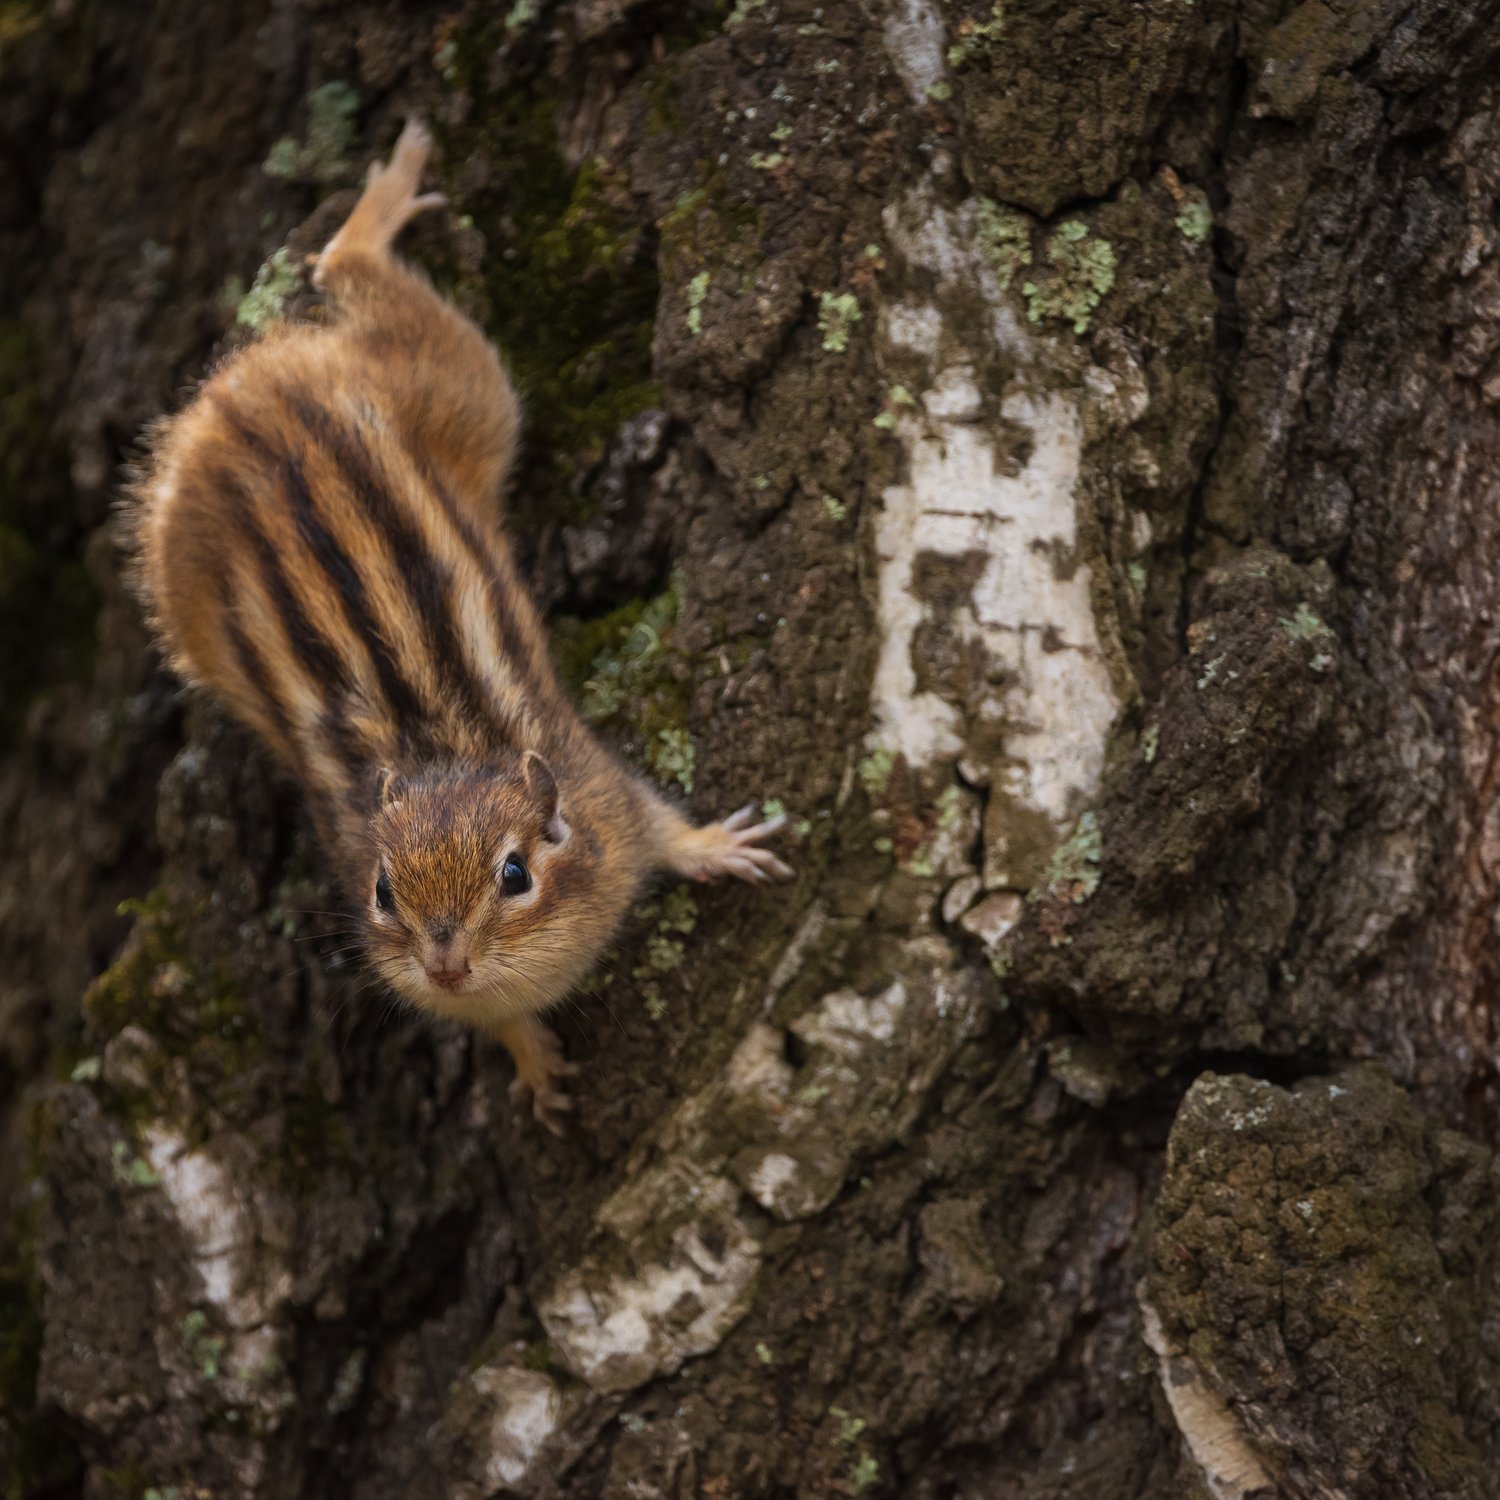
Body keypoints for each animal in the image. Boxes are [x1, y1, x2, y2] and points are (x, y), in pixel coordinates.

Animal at [127, 119, 792, 1131]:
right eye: (381, 889)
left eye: (514, 876)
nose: (444, 963)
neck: (445, 759)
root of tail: (236, 400)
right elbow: (494, 1023)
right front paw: (532, 1062)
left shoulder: (607, 797)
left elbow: (661, 825)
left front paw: (720, 846)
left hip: (458, 387)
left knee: (364, 285)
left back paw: (379, 208)